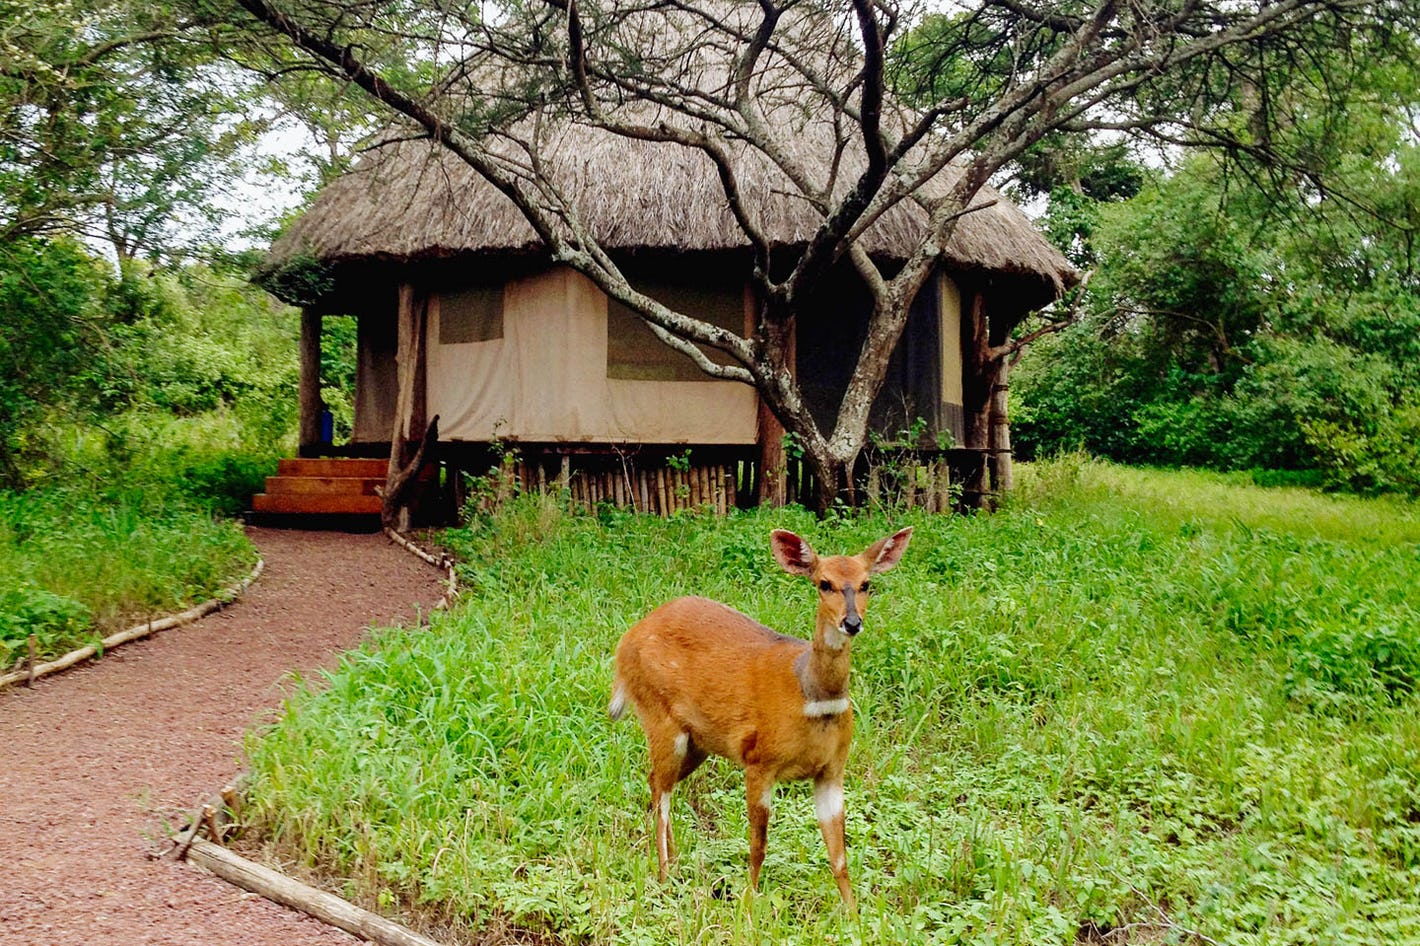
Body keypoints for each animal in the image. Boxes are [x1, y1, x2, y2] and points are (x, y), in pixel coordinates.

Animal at [607, 525, 908, 903]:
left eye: (867, 583)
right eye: (824, 583)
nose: (852, 622)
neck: (813, 698)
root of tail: (624, 644)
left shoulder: (832, 771)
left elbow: (839, 857)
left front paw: (853, 912)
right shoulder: (759, 760)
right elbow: (758, 846)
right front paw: (749, 904)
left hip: (697, 742)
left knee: (657, 784)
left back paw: (675, 864)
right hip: (660, 718)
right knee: (661, 796)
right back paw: (664, 875)